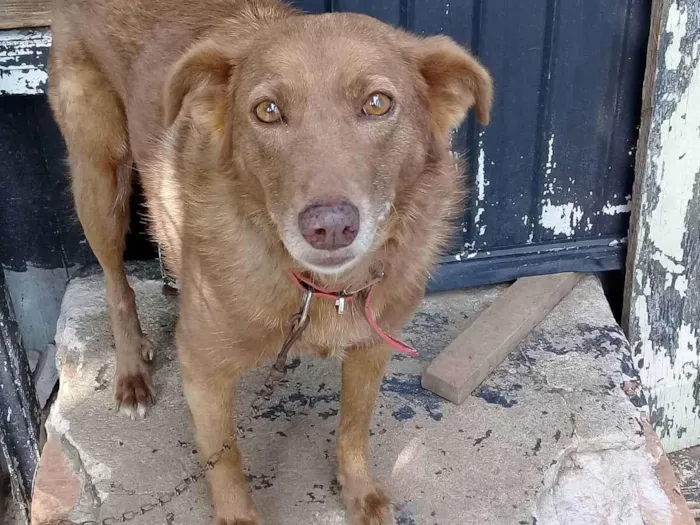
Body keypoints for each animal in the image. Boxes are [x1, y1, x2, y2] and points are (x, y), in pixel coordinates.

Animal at [47, 2, 492, 520]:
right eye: (268, 111)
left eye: (378, 103)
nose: (330, 226)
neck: (322, 288)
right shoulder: (202, 367)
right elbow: (224, 458)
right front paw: (238, 516)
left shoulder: (372, 345)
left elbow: (354, 426)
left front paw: (358, 491)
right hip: (100, 179)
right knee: (114, 282)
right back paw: (132, 369)